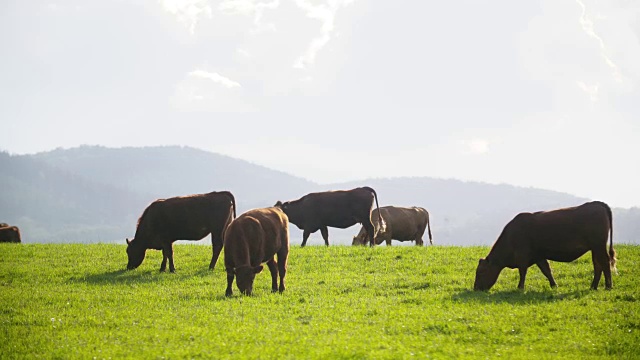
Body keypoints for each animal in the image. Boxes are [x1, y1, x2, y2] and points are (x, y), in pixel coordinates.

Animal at [476, 201, 616, 292]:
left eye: (481, 271)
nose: (476, 288)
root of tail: (598, 204)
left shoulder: (523, 256)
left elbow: (523, 272)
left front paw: (520, 288)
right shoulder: (539, 256)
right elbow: (547, 270)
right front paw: (554, 286)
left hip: (598, 245)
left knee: (604, 262)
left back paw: (608, 286)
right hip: (595, 248)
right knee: (598, 264)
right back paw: (593, 287)